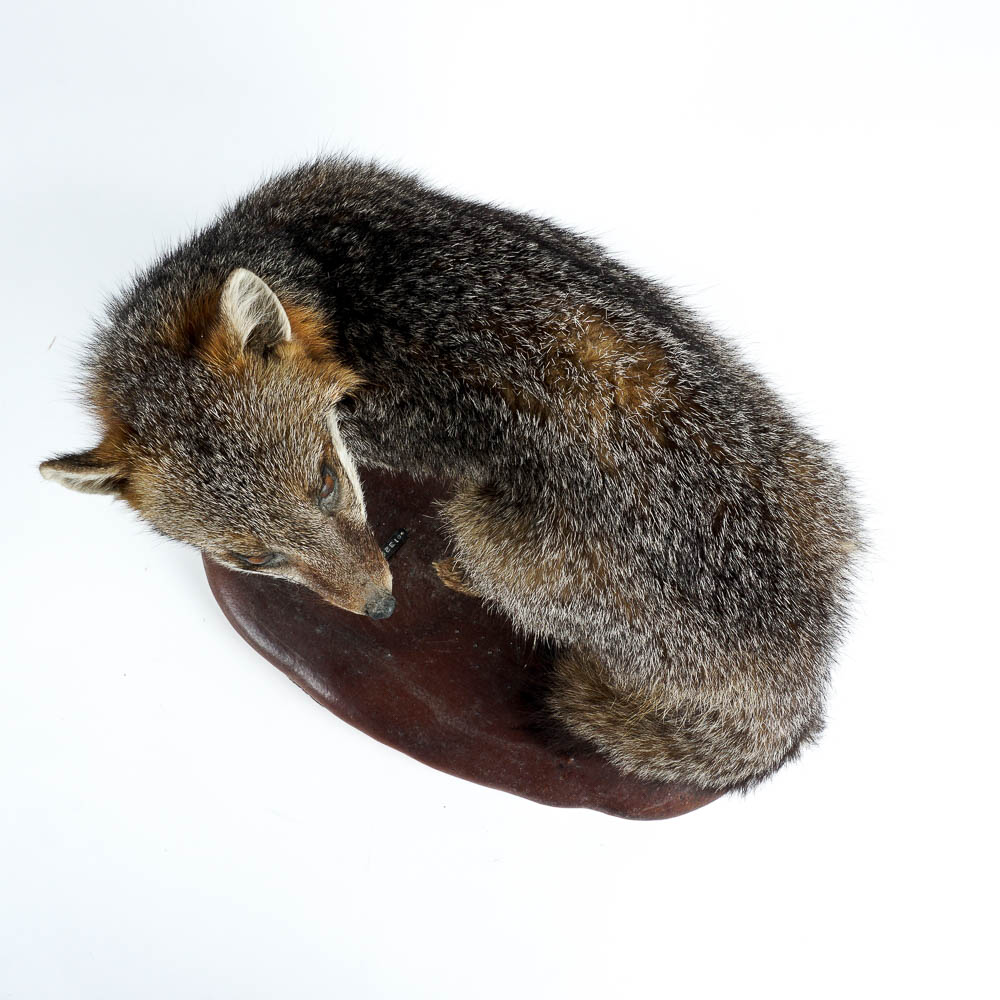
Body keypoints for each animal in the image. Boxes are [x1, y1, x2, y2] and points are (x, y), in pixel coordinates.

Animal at [40, 157, 861, 792]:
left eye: (327, 483)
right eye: (251, 558)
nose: (379, 607)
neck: (319, 270)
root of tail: (805, 668)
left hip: (485, 527)